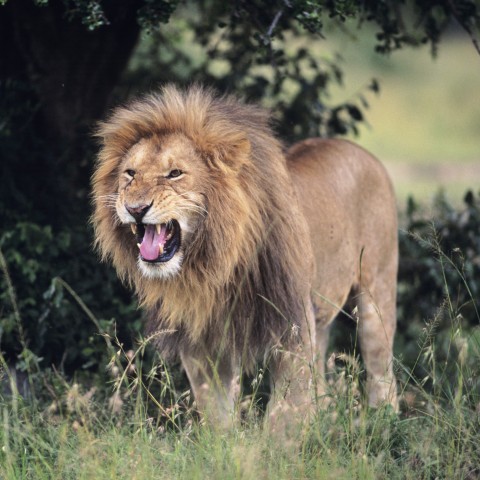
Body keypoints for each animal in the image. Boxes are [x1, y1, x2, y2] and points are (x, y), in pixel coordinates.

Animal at [91, 83, 398, 432]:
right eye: (130, 173)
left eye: (175, 174)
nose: (135, 208)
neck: (214, 263)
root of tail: (361, 151)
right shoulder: (202, 343)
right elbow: (216, 414)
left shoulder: (292, 328)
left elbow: (285, 413)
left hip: (377, 295)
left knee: (382, 373)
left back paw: (386, 424)